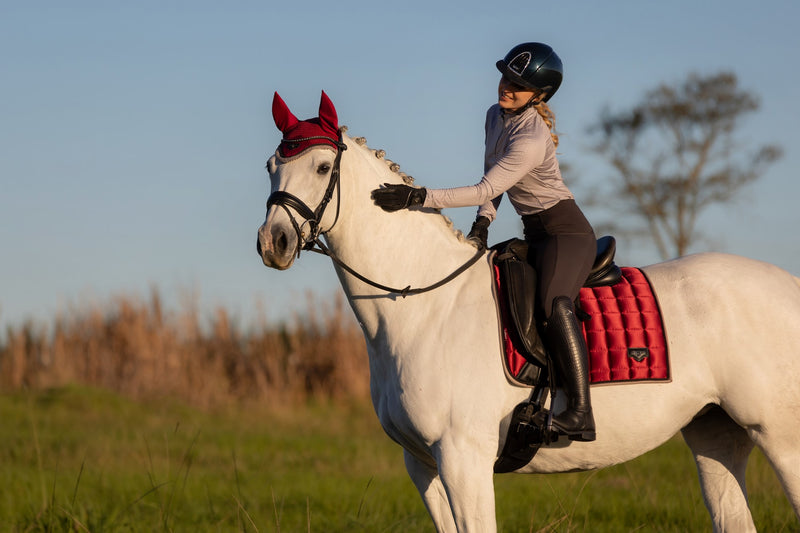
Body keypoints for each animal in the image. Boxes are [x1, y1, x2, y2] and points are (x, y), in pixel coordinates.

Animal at [256, 92, 800, 532]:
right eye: (270, 166)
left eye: (322, 168)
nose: (272, 243)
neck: (423, 305)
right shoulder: (423, 465)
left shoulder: (463, 460)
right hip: (715, 433)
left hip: (780, 436)